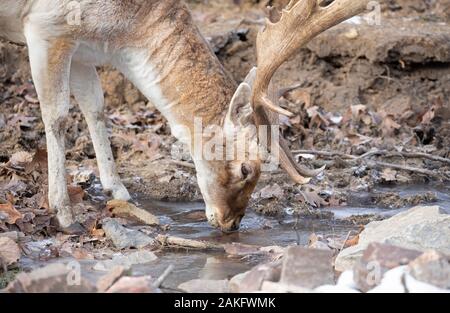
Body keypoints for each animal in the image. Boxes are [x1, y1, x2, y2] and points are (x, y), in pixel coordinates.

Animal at [0, 0, 370, 232]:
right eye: (246, 169)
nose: (231, 224)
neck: (119, 35)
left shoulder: (81, 47)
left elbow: (95, 106)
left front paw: (118, 192)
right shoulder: (47, 27)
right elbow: (57, 116)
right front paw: (65, 215)